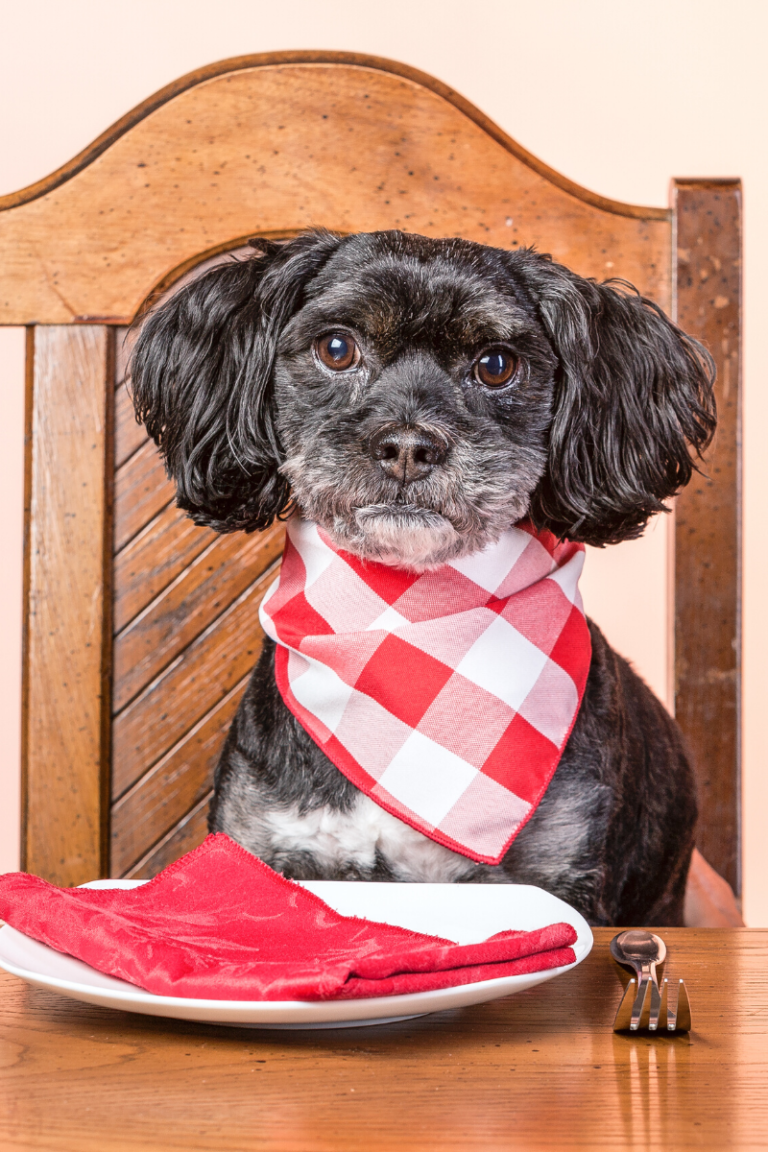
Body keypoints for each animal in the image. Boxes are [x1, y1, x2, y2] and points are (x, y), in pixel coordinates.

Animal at [130, 231, 713, 926]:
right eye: (336, 347)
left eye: (496, 364)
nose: (409, 447)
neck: (405, 619)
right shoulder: (270, 841)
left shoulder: (553, 877)